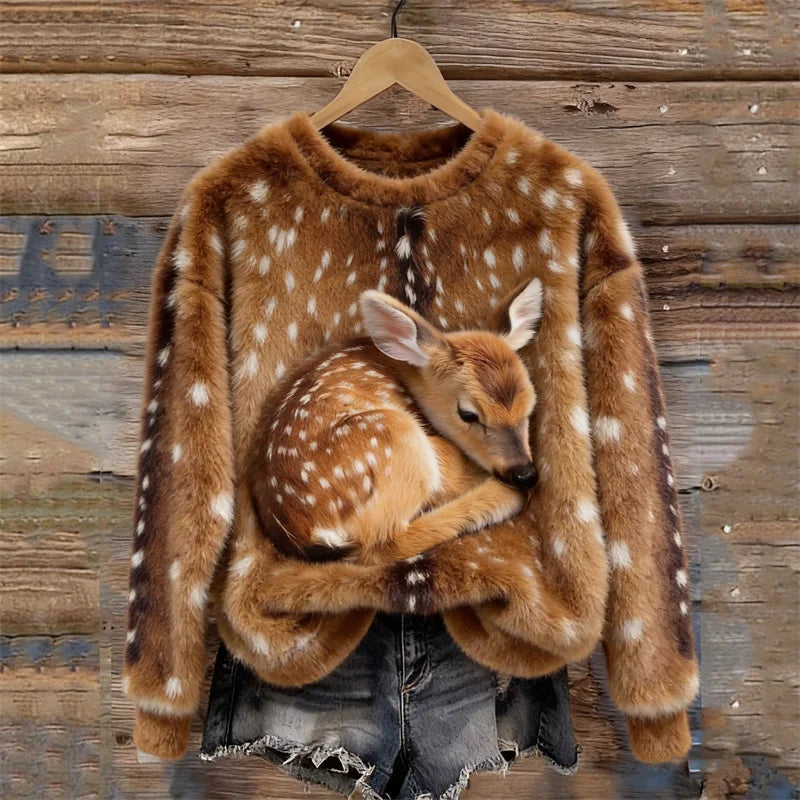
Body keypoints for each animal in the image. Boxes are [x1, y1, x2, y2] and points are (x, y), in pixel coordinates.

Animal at [246, 276, 544, 567]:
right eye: (467, 414)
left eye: (531, 403)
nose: (524, 474)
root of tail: (307, 534)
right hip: (396, 437)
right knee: (381, 544)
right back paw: (501, 497)